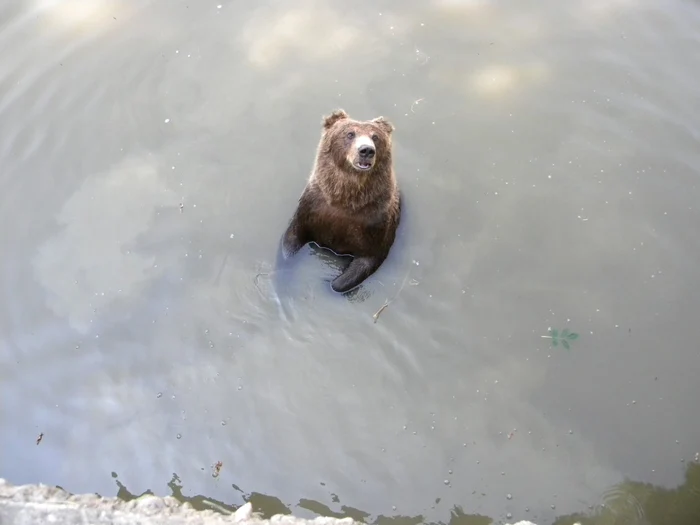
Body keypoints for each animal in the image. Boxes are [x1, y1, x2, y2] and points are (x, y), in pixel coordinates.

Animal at [276, 108, 402, 292]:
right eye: (350, 134)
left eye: (375, 137)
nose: (366, 150)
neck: (344, 199)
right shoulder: (312, 207)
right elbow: (290, 240)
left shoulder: (374, 222)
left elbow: (367, 260)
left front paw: (332, 283)